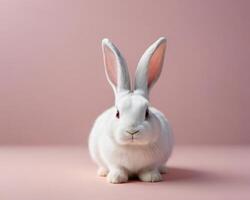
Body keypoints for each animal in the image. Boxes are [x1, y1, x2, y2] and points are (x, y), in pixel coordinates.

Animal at [89, 36, 173, 184]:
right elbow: (118, 168)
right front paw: (116, 179)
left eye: (147, 113)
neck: (133, 146)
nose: (132, 131)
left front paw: (152, 178)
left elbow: (149, 169)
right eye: (117, 113)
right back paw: (103, 172)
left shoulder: (152, 163)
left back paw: (163, 170)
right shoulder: (114, 162)